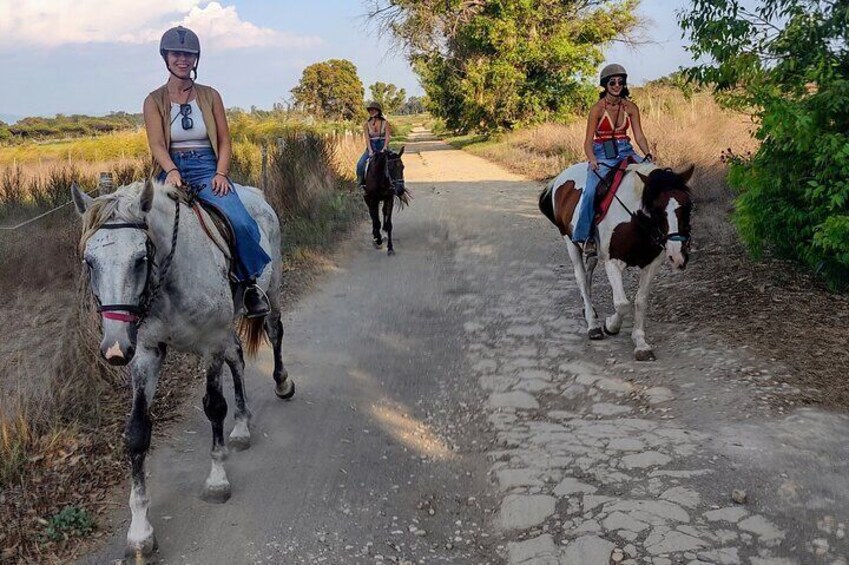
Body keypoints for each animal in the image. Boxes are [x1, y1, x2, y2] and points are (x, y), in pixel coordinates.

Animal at [71, 178, 294, 556]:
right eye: (90, 261)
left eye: (140, 259)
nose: (114, 348)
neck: (169, 279)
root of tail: (257, 195)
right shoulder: (146, 352)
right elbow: (137, 432)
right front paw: (140, 530)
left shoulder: (209, 343)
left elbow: (215, 407)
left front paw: (217, 480)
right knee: (237, 355)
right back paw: (241, 427)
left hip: (271, 290)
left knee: (274, 331)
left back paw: (281, 383)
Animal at [540, 161, 692, 360]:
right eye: (656, 209)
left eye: (688, 206)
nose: (677, 256)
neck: (635, 221)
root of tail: (561, 177)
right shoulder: (613, 263)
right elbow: (622, 304)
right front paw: (611, 326)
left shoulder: (651, 264)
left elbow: (641, 301)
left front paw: (640, 343)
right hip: (570, 241)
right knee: (580, 277)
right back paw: (593, 325)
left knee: (589, 270)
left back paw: (589, 307)